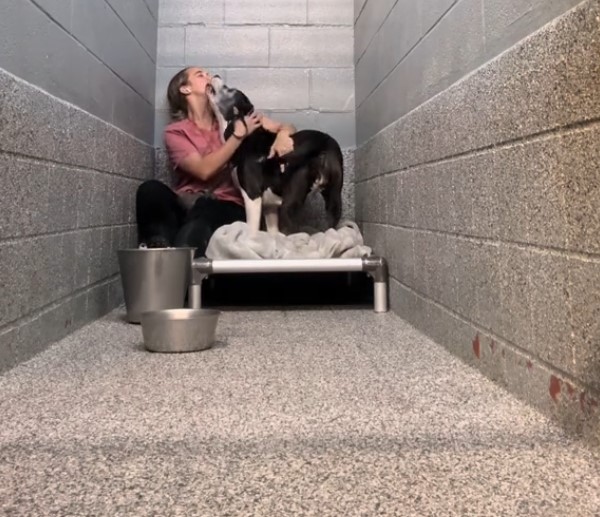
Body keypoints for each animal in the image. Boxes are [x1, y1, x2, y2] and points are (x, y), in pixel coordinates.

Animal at [210, 75, 344, 236]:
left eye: (229, 90)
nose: (216, 75)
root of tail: (324, 142)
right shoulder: (270, 207)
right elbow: (273, 234)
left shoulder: (252, 196)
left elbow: (252, 229)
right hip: (334, 198)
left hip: (289, 203)